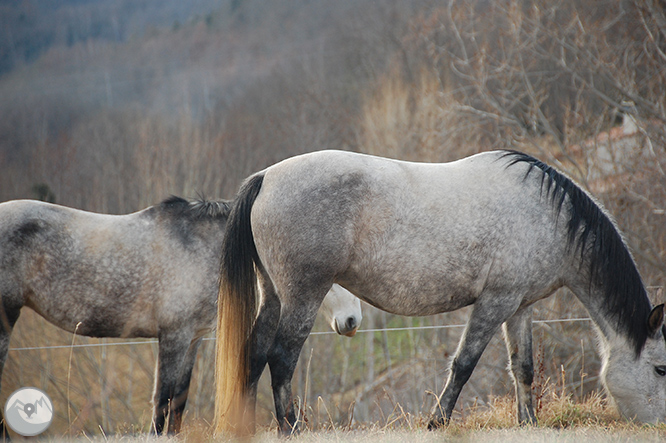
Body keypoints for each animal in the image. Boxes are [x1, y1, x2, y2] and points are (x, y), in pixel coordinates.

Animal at [0, 198, 360, 438]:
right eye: (333, 277)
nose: (352, 321)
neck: (205, 249)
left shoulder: (192, 339)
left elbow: (179, 401)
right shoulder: (173, 336)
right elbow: (162, 397)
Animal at [214, 151, 664, 436]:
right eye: (661, 369)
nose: (658, 424)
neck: (547, 215)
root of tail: (266, 178)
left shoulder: (519, 306)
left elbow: (523, 367)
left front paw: (528, 423)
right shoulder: (494, 303)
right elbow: (463, 364)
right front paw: (436, 422)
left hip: (275, 296)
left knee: (254, 354)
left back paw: (242, 427)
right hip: (303, 295)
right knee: (281, 357)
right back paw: (291, 428)